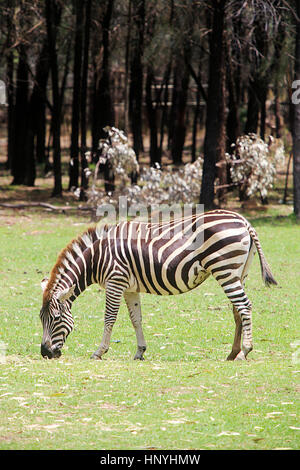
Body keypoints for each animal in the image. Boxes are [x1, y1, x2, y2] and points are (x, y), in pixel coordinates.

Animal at [39, 209, 276, 360]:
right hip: (239, 271)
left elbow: (109, 318)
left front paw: (99, 351)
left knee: (244, 306)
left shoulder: (115, 281)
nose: (45, 353)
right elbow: (136, 319)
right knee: (237, 310)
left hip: (225, 270)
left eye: (56, 318)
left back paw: (245, 351)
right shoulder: (129, 288)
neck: (97, 257)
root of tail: (244, 220)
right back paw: (232, 353)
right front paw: (140, 351)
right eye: (41, 319)